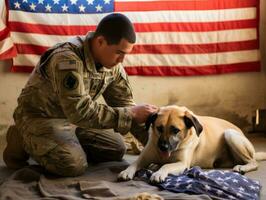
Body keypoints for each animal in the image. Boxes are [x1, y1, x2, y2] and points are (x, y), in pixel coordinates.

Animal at [118, 104, 266, 183]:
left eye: (175, 130)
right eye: (159, 128)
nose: (163, 147)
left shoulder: (182, 164)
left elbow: (166, 166)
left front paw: (159, 173)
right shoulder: (144, 157)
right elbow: (134, 164)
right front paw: (126, 171)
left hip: (230, 134)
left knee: (253, 162)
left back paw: (242, 167)